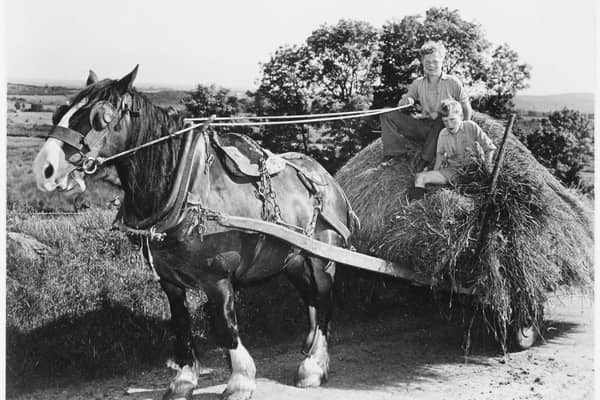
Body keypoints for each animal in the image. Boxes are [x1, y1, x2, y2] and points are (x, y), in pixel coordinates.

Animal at [32, 66, 358, 400]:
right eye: (59, 111)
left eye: (101, 117)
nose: (44, 169)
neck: (184, 185)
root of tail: (327, 178)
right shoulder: (169, 281)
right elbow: (181, 324)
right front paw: (185, 379)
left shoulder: (217, 279)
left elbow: (225, 326)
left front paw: (240, 380)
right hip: (292, 259)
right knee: (311, 299)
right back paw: (311, 350)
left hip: (321, 256)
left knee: (323, 298)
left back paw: (313, 366)